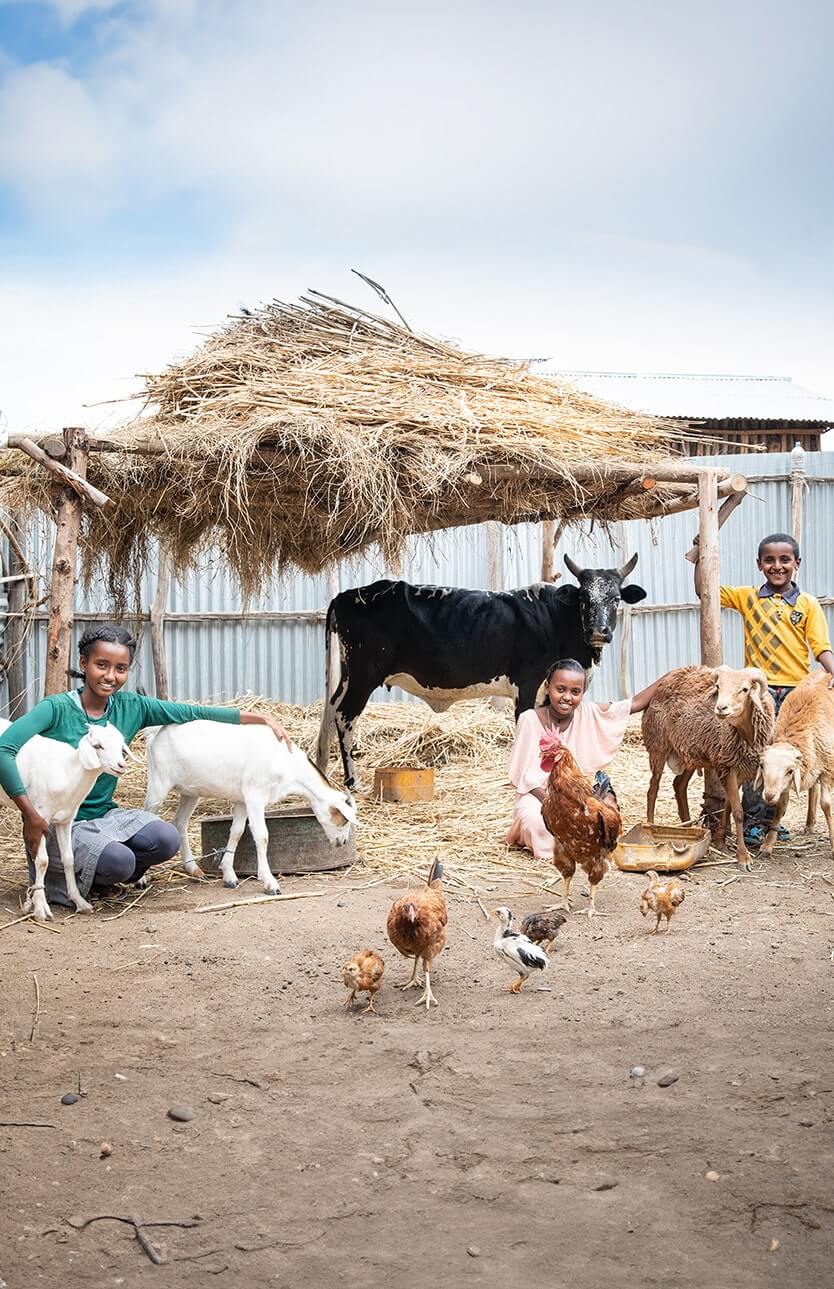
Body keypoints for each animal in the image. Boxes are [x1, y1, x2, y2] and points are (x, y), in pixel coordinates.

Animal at [0, 721, 132, 922]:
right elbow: (43, 861)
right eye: (97, 746)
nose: (121, 765)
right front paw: (41, 909)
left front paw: (80, 902)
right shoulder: (39, 818)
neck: (68, 772)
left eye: (121, 746)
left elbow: (69, 859)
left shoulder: (65, 819)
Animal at [145, 726, 358, 897]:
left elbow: (237, 832)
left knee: (180, 822)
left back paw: (194, 869)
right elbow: (261, 835)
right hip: (158, 782)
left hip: (190, 791)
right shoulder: (255, 795)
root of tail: (156, 733)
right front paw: (270, 883)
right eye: (344, 820)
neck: (285, 763)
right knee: (148, 814)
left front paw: (229, 876)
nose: (342, 842)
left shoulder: (242, 800)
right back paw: (143, 879)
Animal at [317, 551, 649, 783]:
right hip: (364, 675)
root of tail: (347, 595)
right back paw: (351, 780)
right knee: (345, 716)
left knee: (331, 708)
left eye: (616, 598)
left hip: (347, 674)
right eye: (583, 598)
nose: (598, 631)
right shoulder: (527, 684)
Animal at [641, 670, 778, 871]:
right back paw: (650, 824)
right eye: (718, 686)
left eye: (745, 689)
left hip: (689, 753)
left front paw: (720, 841)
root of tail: (664, 682)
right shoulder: (727, 766)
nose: (721, 708)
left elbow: (728, 805)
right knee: (653, 789)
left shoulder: (736, 768)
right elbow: (738, 812)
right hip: (658, 746)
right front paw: (743, 858)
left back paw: (688, 827)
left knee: (679, 786)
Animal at [757, 670, 834, 861]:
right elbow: (780, 808)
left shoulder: (828, 768)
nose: (768, 795)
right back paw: (809, 824)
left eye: (790, 770)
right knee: (813, 789)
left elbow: (826, 804)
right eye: (762, 765)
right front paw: (767, 846)